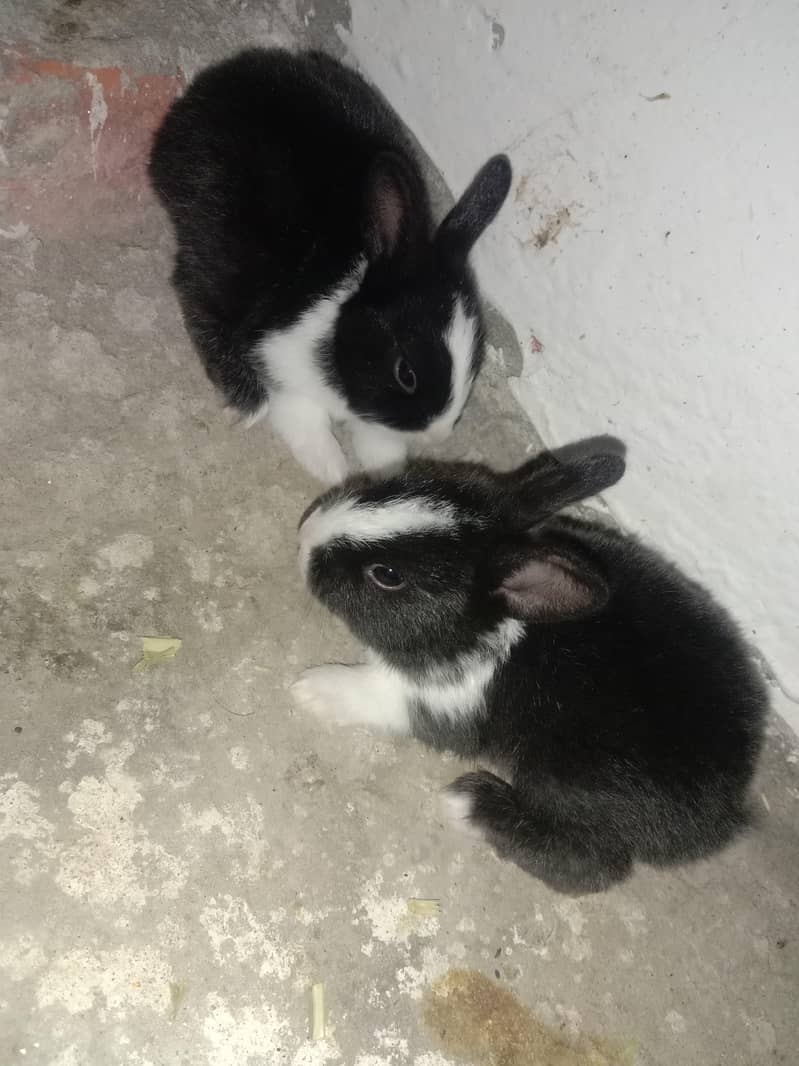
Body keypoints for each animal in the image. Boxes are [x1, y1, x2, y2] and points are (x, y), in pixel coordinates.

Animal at [148, 47, 512, 484]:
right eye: (405, 373)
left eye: (474, 364)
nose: (437, 436)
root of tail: (209, 86)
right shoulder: (279, 360)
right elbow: (304, 418)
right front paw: (333, 469)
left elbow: (379, 444)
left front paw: (385, 472)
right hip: (214, 249)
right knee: (194, 292)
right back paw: (244, 397)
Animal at [292, 439, 768, 894]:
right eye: (402, 481)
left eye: (387, 575)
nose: (306, 537)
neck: (497, 624)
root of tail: (722, 818)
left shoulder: (439, 702)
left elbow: (373, 693)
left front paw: (312, 689)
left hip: (567, 779)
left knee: (594, 867)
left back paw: (470, 804)